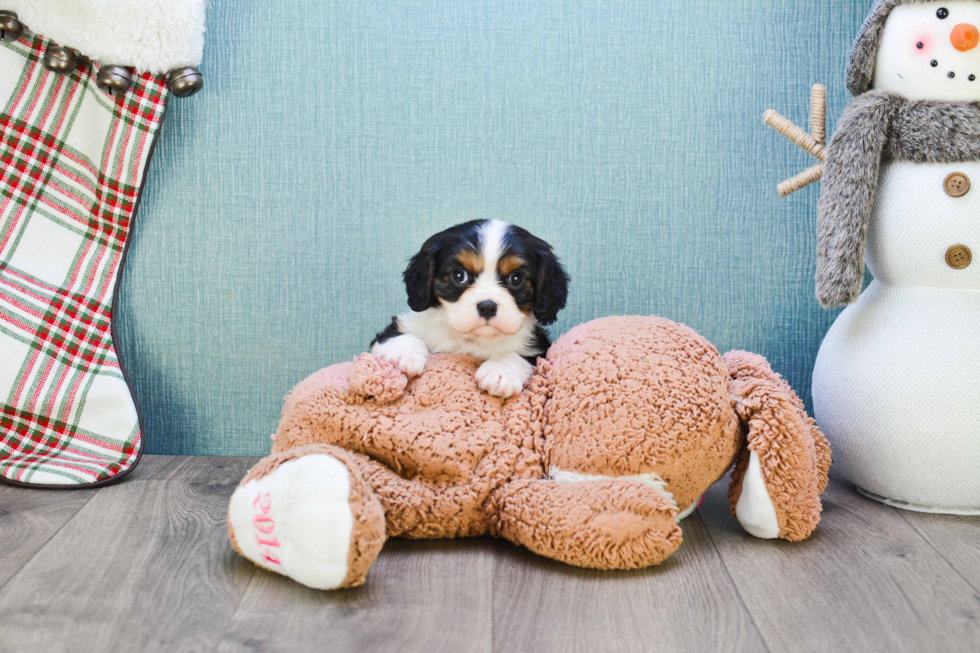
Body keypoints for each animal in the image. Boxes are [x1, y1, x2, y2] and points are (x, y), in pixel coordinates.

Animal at [372, 219, 572, 398]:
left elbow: (520, 355)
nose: (487, 307)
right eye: (459, 275)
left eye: (516, 278)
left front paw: (500, 371)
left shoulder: (539, 349)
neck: (472, 338)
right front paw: (402, 354)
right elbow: (401, 334)